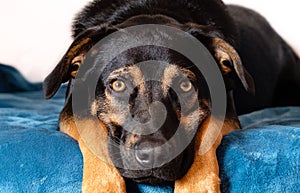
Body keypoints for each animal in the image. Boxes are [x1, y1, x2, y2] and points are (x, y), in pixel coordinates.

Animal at [43, 0, 298, 192]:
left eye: (185, 86)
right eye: (118, 85)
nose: (153, 155)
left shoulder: (225, 112)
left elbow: (205, 137)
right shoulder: (72, 108)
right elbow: (93, 132)